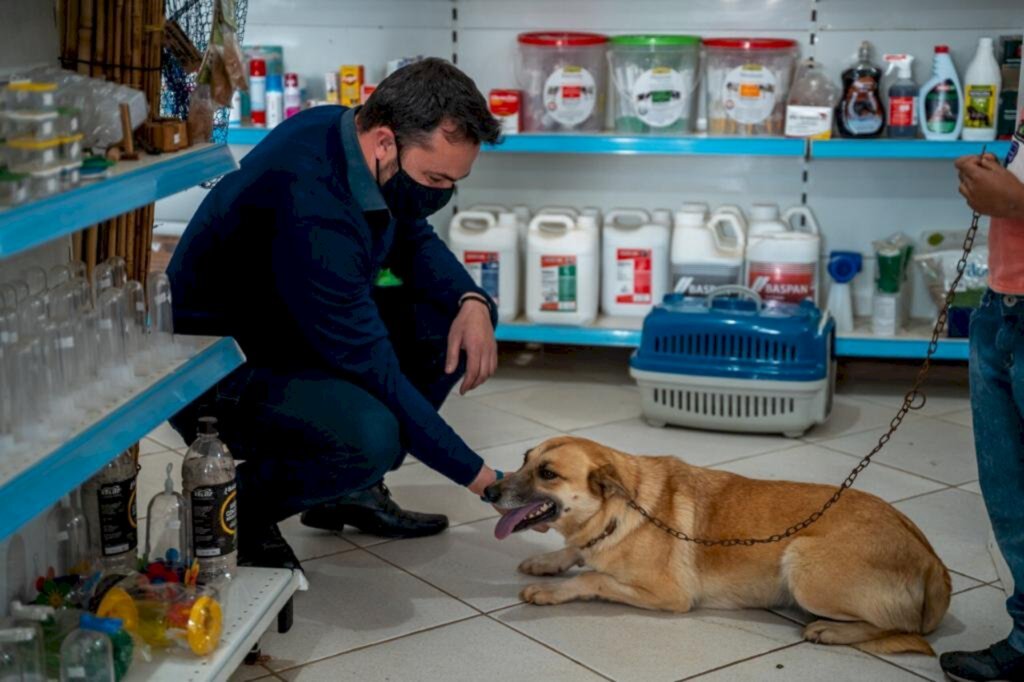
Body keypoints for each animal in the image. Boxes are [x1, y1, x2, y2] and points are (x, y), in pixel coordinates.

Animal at [483, 436, 946, 655]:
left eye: (547, 473)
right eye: (525, 460)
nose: (488, 490)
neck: (618, 509)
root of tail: (932, 562)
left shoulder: (669, 595)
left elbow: (592, 577)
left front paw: (551, 589)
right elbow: (577, 553)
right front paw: (548, 560)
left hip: (801, 563)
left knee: (901, 628)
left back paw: (832, 630)